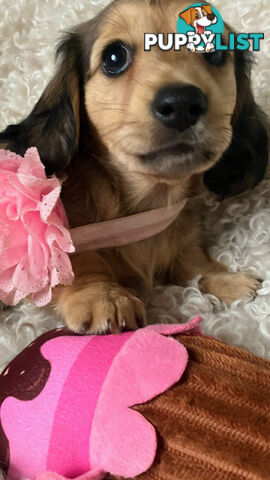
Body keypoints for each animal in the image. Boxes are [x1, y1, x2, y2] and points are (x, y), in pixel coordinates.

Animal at [0, 0, 268, 332]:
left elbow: (192, 262)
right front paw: (105, 296)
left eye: (215, 52)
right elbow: (77, 260)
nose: (181, 103)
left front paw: (224, 279)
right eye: (114, 57)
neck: (144, 204)